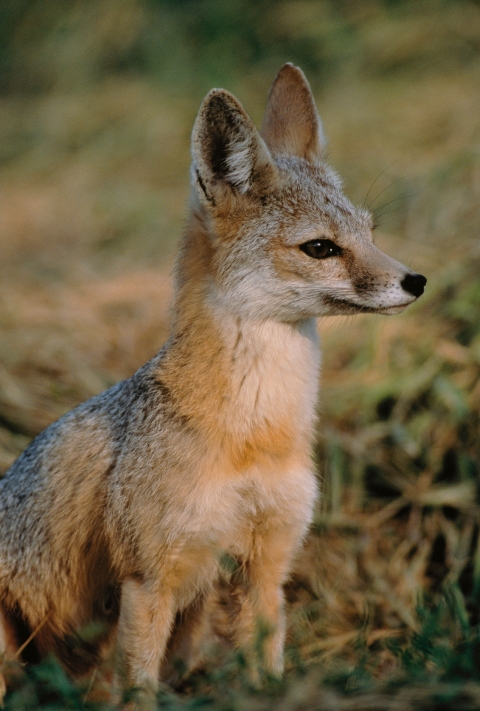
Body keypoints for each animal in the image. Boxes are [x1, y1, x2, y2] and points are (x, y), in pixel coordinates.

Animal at [0, 64, 428, 700]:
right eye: (321, 248)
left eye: (371, 232)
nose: (416, 280)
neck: (254, 433)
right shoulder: (150, 577)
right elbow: (139, 692)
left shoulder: (266, 566)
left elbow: (267, 667)